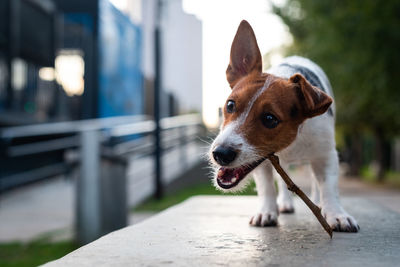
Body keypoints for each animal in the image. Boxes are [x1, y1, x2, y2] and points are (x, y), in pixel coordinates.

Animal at [209, 19, 360, 232]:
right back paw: (285, 203)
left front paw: (337, 214)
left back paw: (318, 201)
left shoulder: (326, 155)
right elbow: (267, 187)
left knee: (316, 183)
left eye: (269, 119)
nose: (220, 154)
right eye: (230, 105)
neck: (293, 142)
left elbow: (329, 187)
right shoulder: (263, 163)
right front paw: (266, 212)